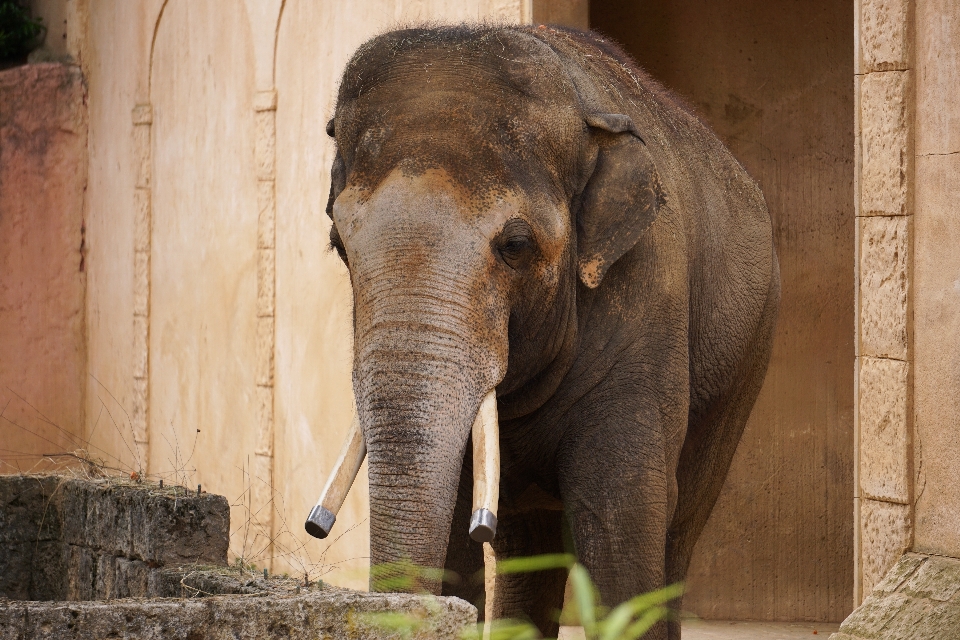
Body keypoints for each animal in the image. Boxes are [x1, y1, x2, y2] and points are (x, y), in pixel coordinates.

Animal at [318, 25, 776, 640]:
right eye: (339, 245)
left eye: (515, 245)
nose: (315, 526)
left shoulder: (647, 301)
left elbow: (621, 507)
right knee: (524, 536)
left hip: (744, 364)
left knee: (677, 524)